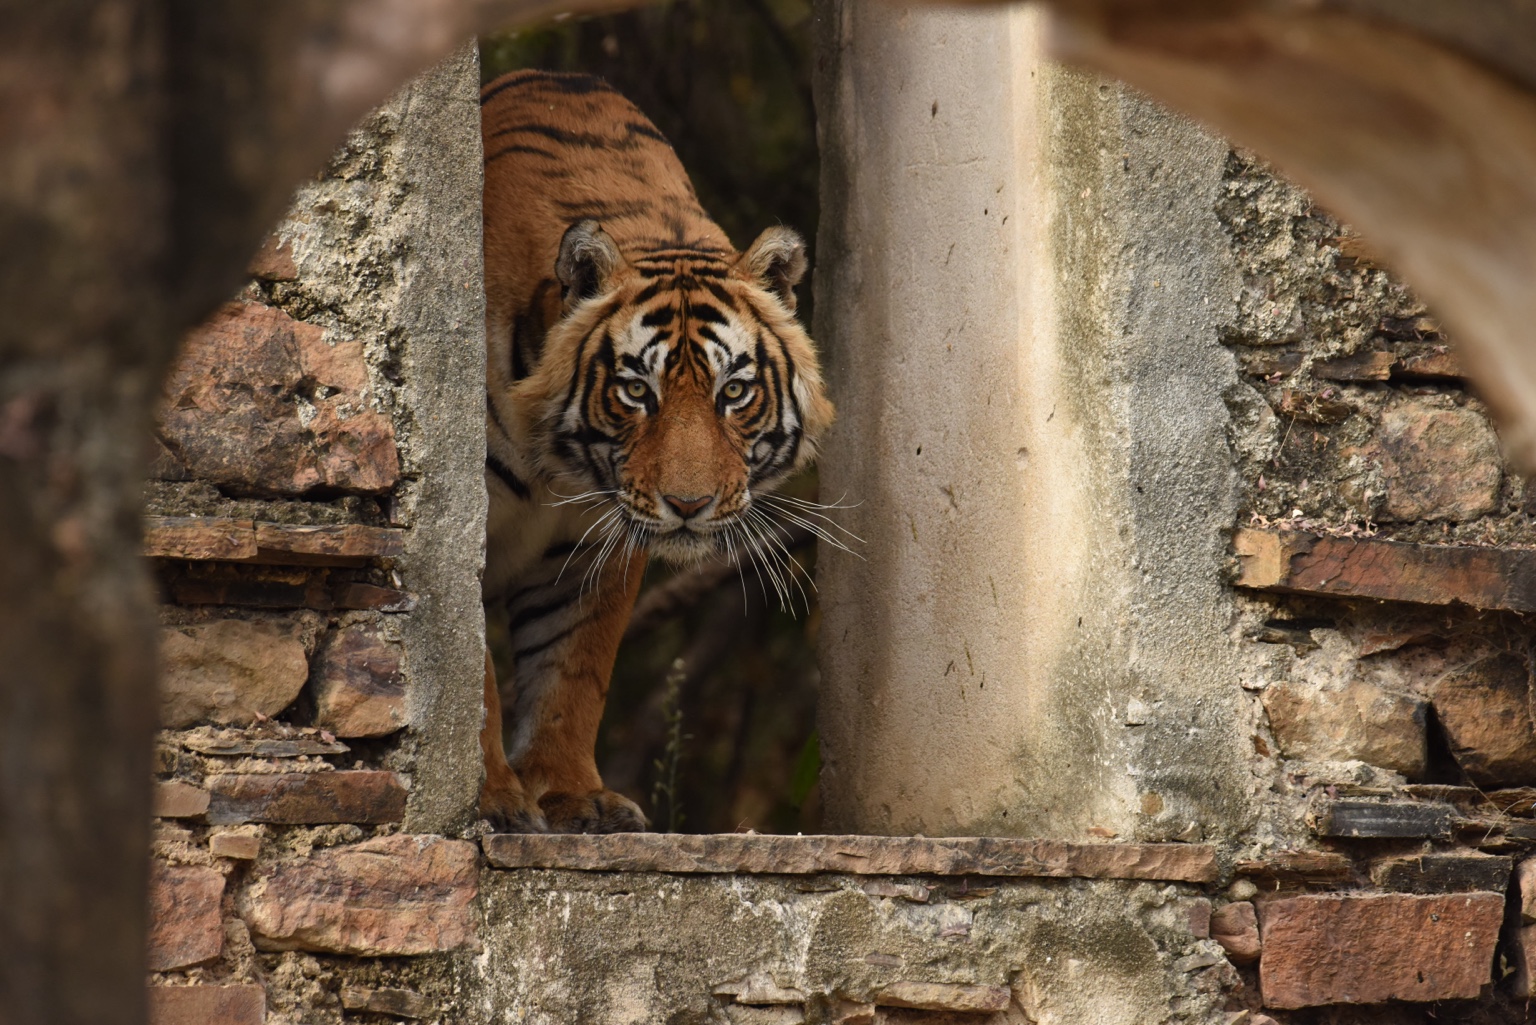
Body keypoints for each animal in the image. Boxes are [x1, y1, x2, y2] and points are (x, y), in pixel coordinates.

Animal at [476, 69, 835, 833]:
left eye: (735, 390)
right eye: (637, 390)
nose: (689, 505)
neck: (558, 471)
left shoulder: (592, 546)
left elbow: (573, 669)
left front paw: (571, 795)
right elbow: (477, 674)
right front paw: (493, 798)